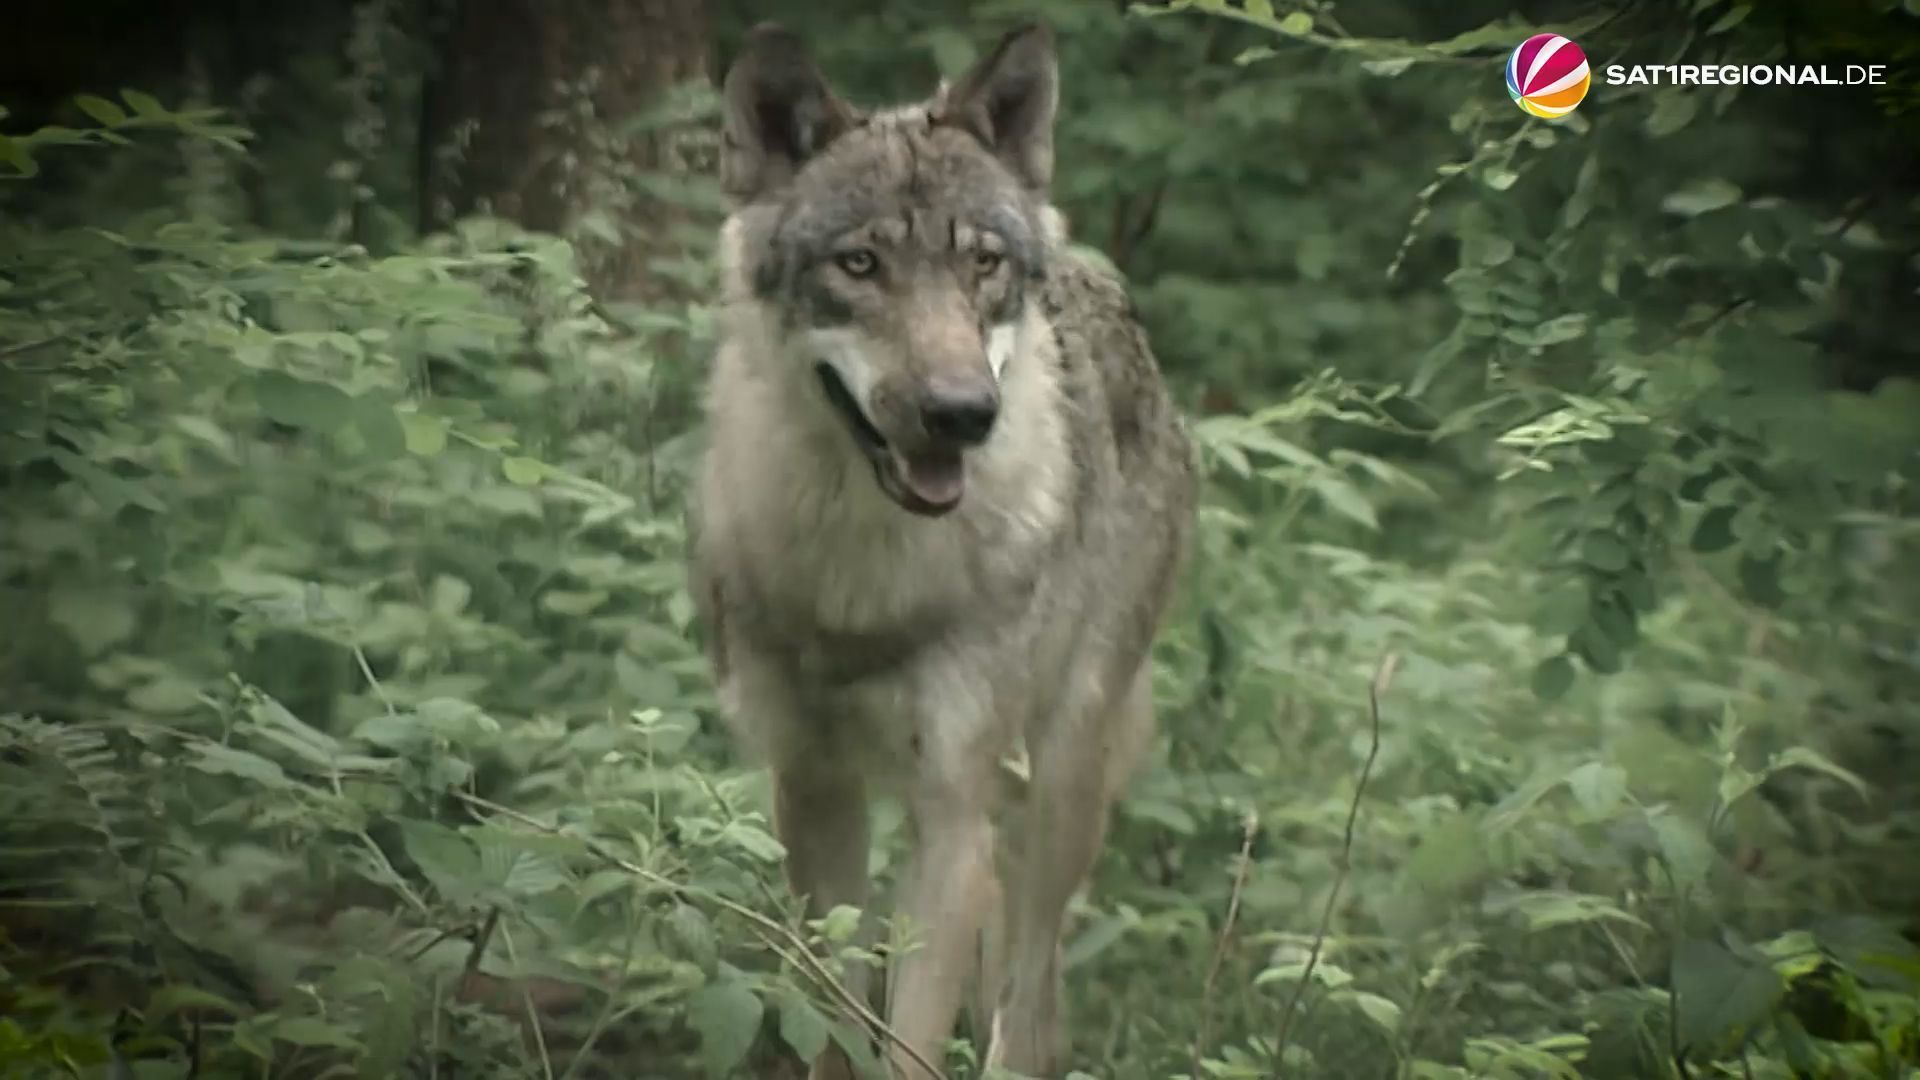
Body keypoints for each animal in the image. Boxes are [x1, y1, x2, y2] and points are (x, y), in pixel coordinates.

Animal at [687, 20, 1197, 1079]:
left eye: (983, 265)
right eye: (859, 265)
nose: (963, 413)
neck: (861, 580)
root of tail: (1107, 289)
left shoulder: (950, 812)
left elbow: (908, 1044)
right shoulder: (814, 788)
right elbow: (836, 1024)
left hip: (1061, 779)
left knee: (1031, 1001)